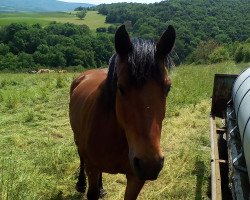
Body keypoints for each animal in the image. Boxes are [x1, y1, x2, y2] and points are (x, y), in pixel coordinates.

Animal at [69, 25, 176, 200]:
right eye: (121, 87)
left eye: (168, 87)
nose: (149, 164)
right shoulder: (92, 168)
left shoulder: (135, 178)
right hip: (77, 138)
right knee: (81, 156)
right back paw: (80, 183)